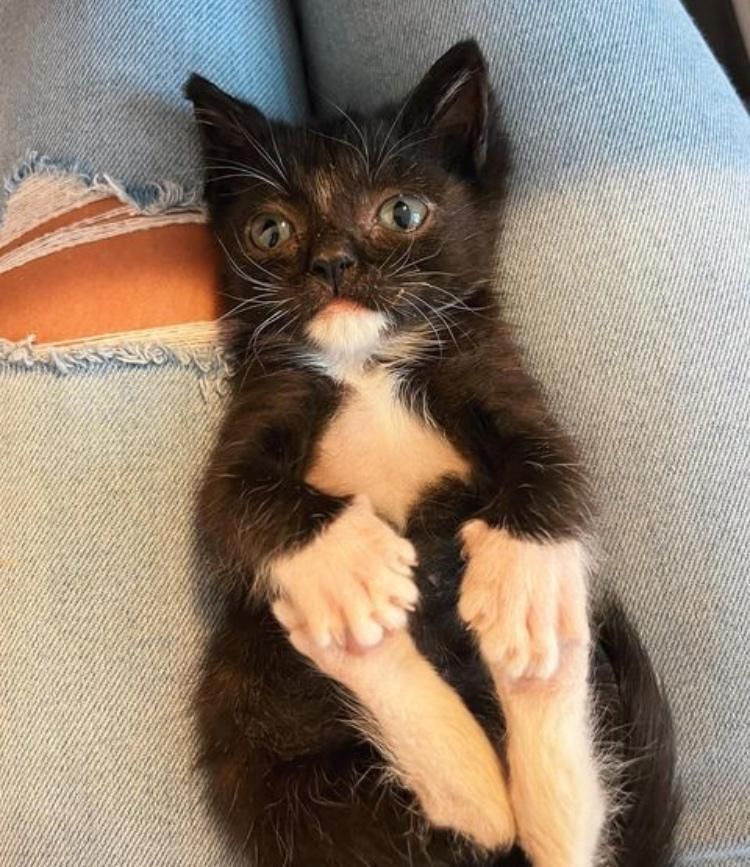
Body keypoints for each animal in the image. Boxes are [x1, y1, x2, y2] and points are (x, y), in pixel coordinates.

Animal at [187, 39, 680, 867]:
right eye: (270, 230)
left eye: (402, 212)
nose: (334, 262)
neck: (368, 365)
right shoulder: (258, 404)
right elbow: (231, 499)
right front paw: (342, 566)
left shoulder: (492, 370)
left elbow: (553, 458)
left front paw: (524, 573)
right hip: (249, 701)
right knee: (447, 808)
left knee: (563, 836)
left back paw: (542, 661)